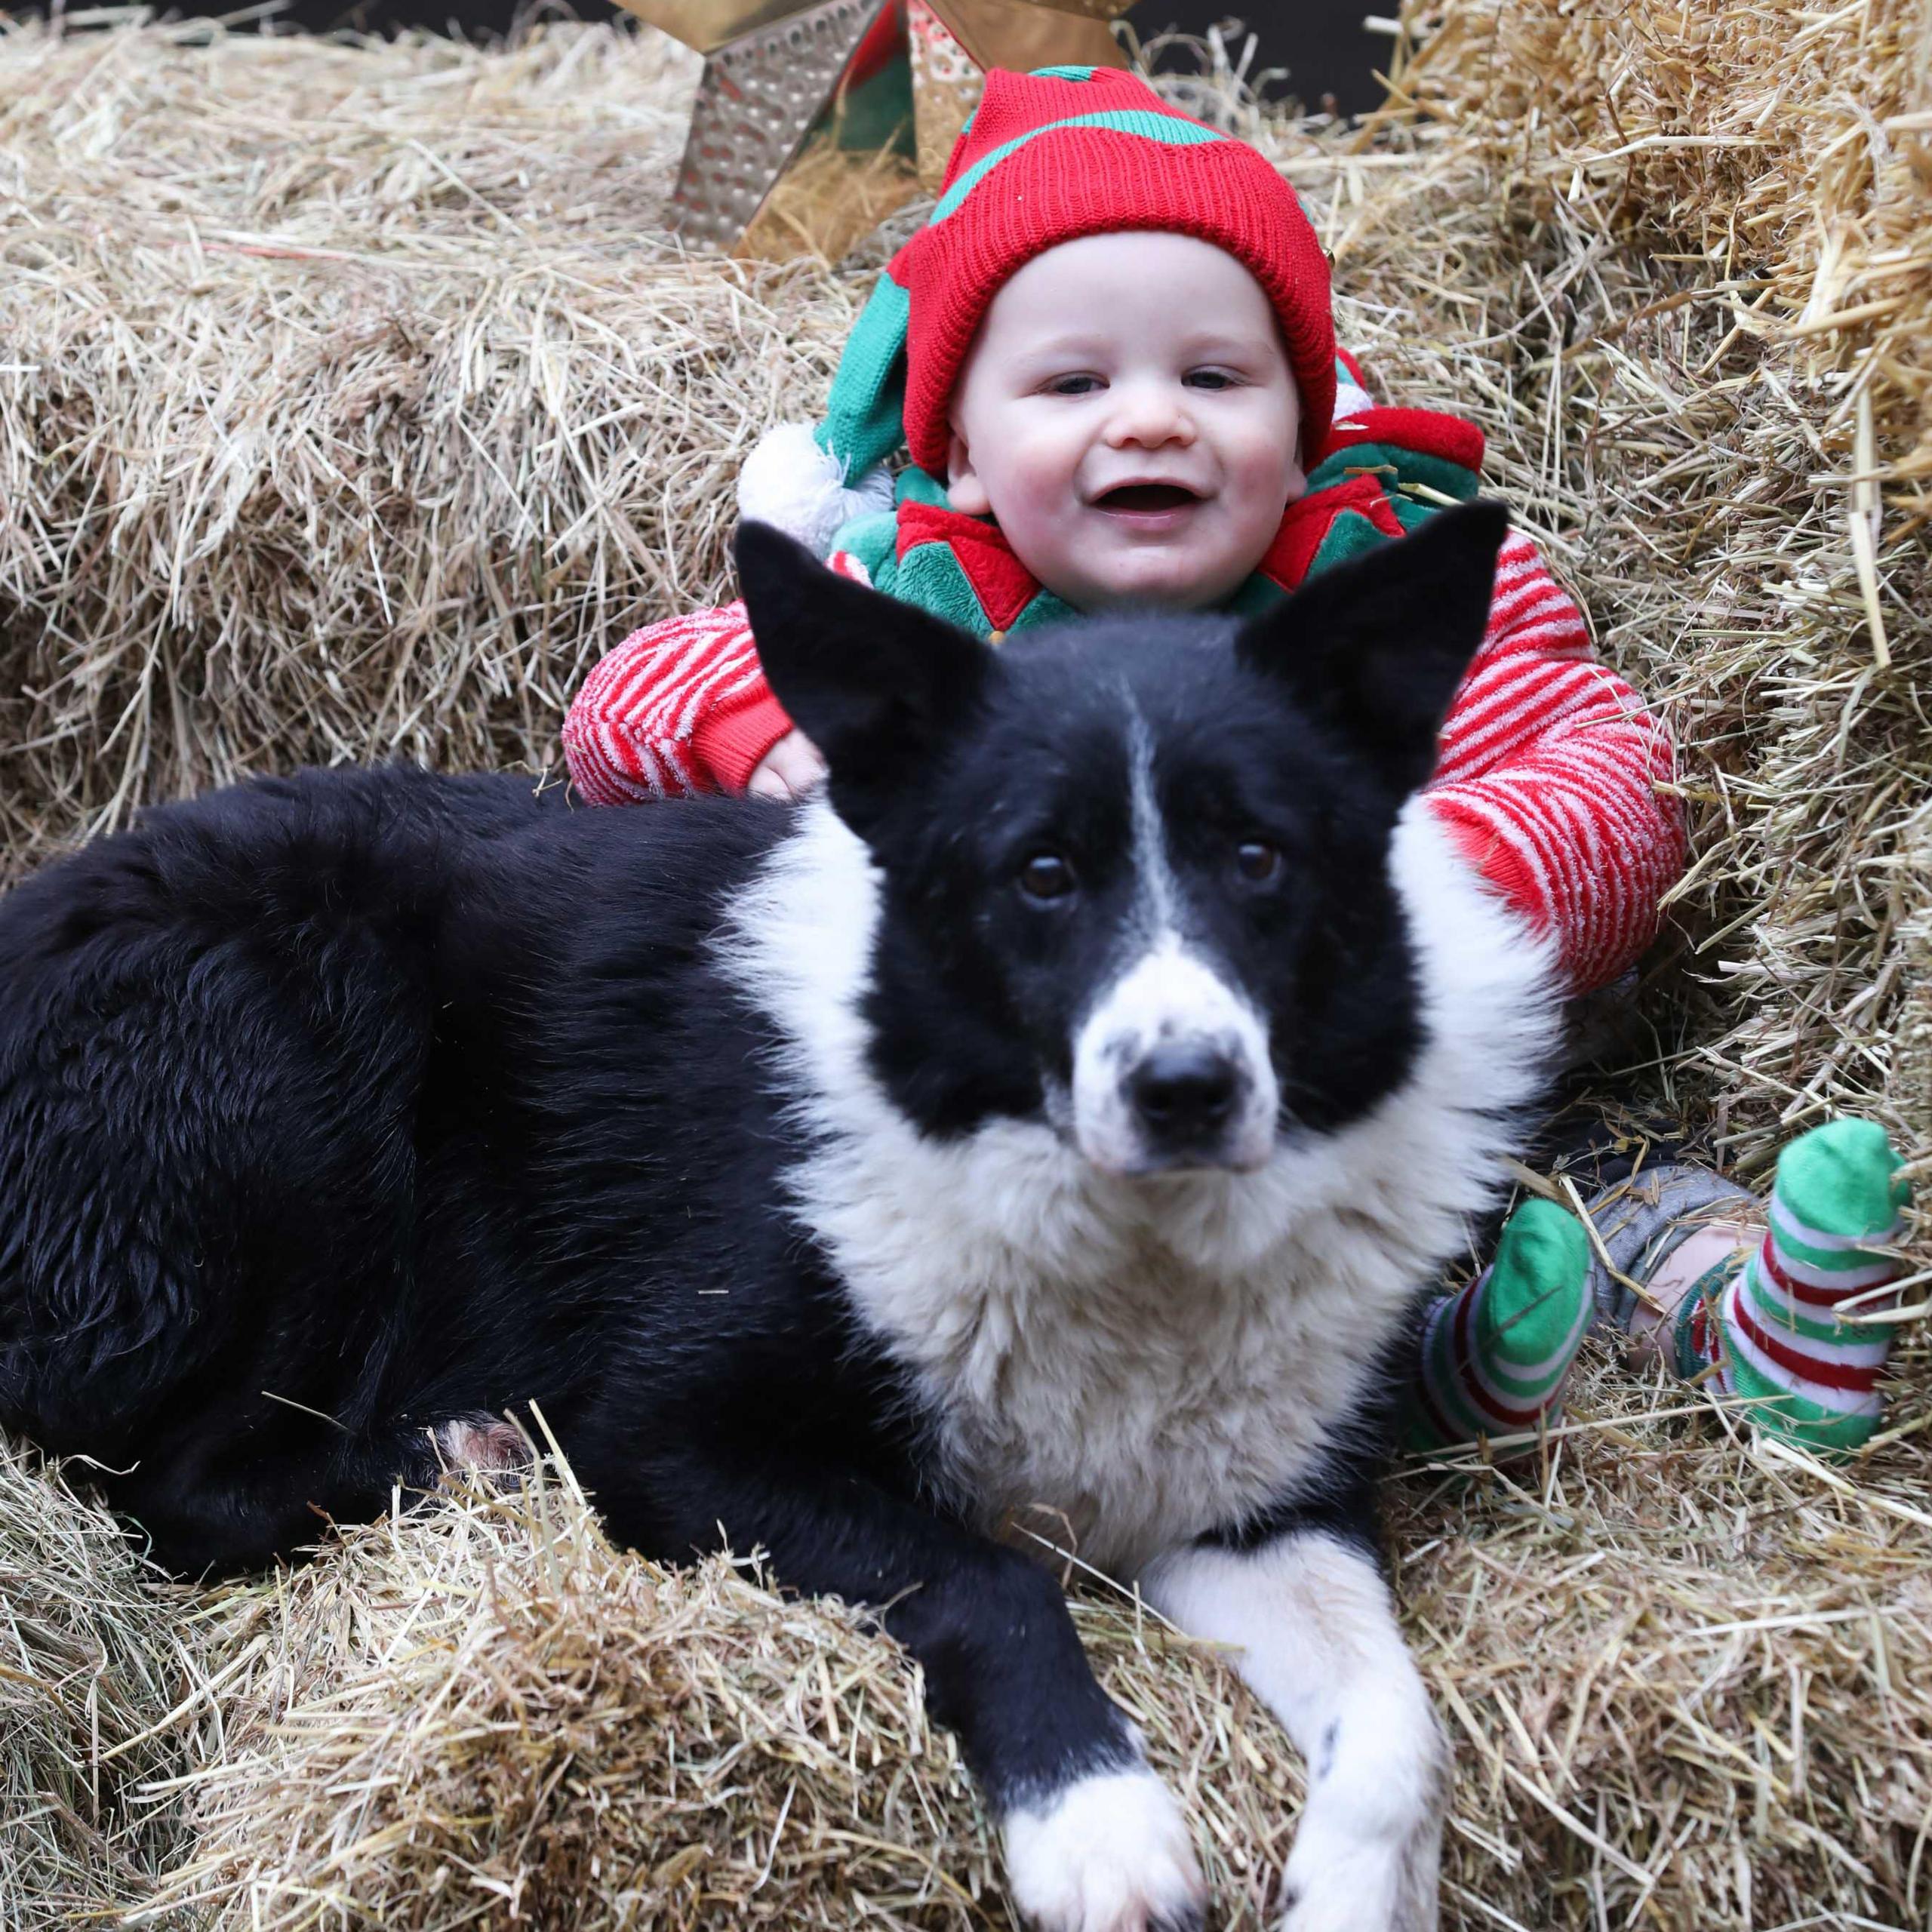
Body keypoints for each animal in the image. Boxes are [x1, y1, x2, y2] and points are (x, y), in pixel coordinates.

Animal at [0, 502, 1546, 1932]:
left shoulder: (1263, 1513)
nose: (1188, 1092)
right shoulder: (670, 1435)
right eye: (1041, 873)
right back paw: (463, 1458)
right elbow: (987, 1577)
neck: (1124, 1238)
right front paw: (1101, 1830)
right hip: (293, 1062)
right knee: (181, 1490)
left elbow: (1399, 1720)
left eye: (1259, 856)